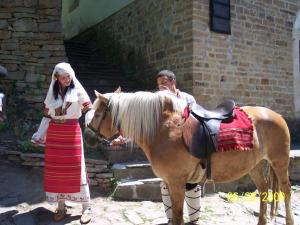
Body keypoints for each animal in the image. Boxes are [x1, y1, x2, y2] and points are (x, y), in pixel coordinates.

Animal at [84, 90, 292, 225]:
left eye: (98, 113)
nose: (87, 137)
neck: (162, 129)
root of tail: (276, 115)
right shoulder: (169, 182)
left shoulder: (177, 182)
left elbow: (177, 216)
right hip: (254, 165)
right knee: (264, 189)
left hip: (279, 162)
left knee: (286, 190)